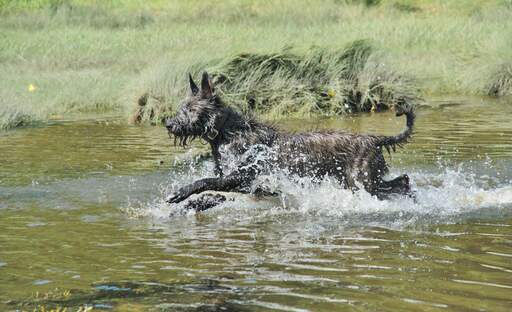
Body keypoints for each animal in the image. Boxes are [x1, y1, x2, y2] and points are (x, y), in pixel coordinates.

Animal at [166, 72, 414, 210]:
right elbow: (214, 192)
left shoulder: (242, 177)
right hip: (366, 180)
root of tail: (375, 139)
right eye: (182, 108)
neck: (228, 132)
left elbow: (205, 182)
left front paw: (182, 193)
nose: (169, 124)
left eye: (190, 109)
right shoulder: (246, 185)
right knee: (402, 181)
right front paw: (194, 203)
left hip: (360, 182)